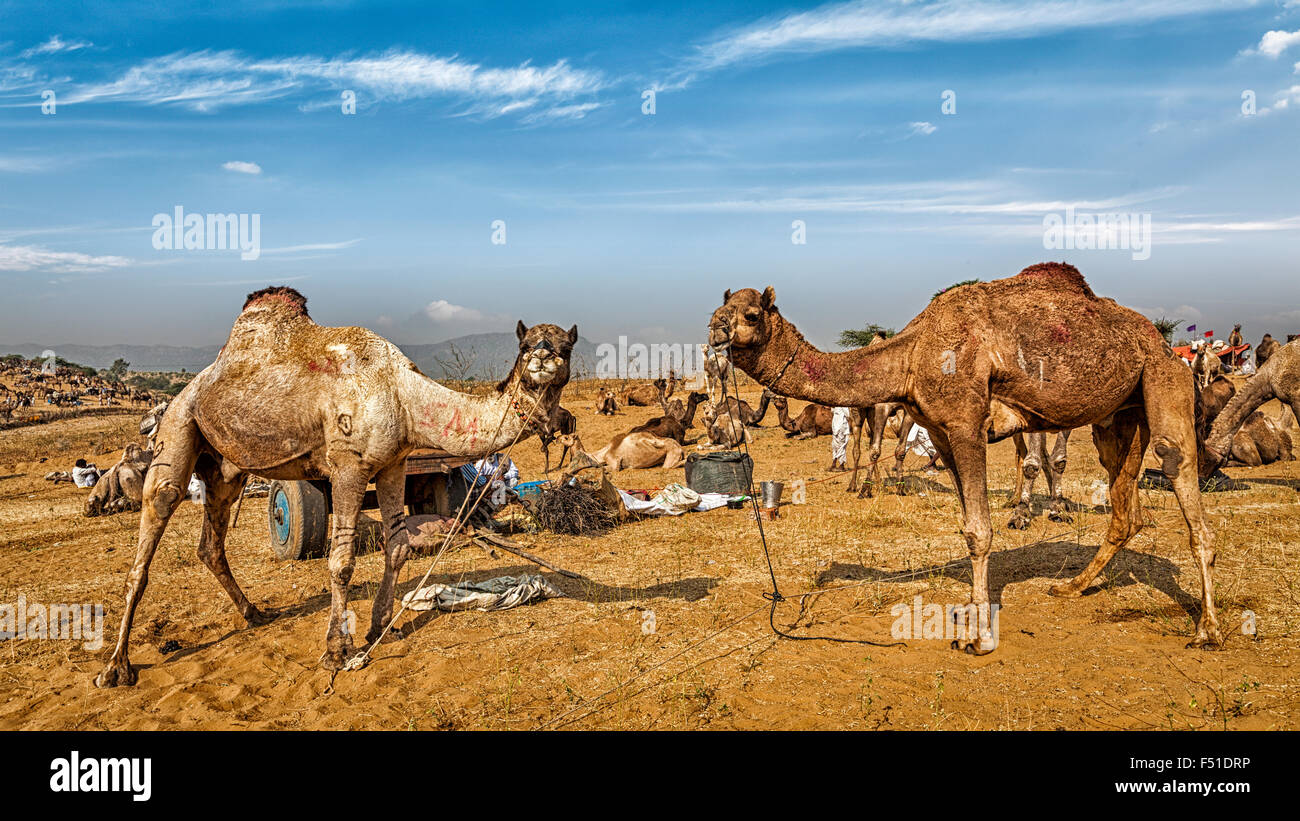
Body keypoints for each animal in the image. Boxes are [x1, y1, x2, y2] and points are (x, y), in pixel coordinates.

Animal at [96, 288, 574, 685]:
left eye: (566, 346)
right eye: (526, 345)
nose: (544, 361)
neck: (403, 395)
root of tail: (191, 387)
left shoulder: (394, 463)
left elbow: (398, 547)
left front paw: (382, 626)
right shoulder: (348, 466)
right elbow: (341, 561)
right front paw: (337, 650)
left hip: (226, 467)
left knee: (211, 543)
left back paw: (254, 614)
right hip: (179, 424)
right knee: (154, 521)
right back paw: (117, 667)